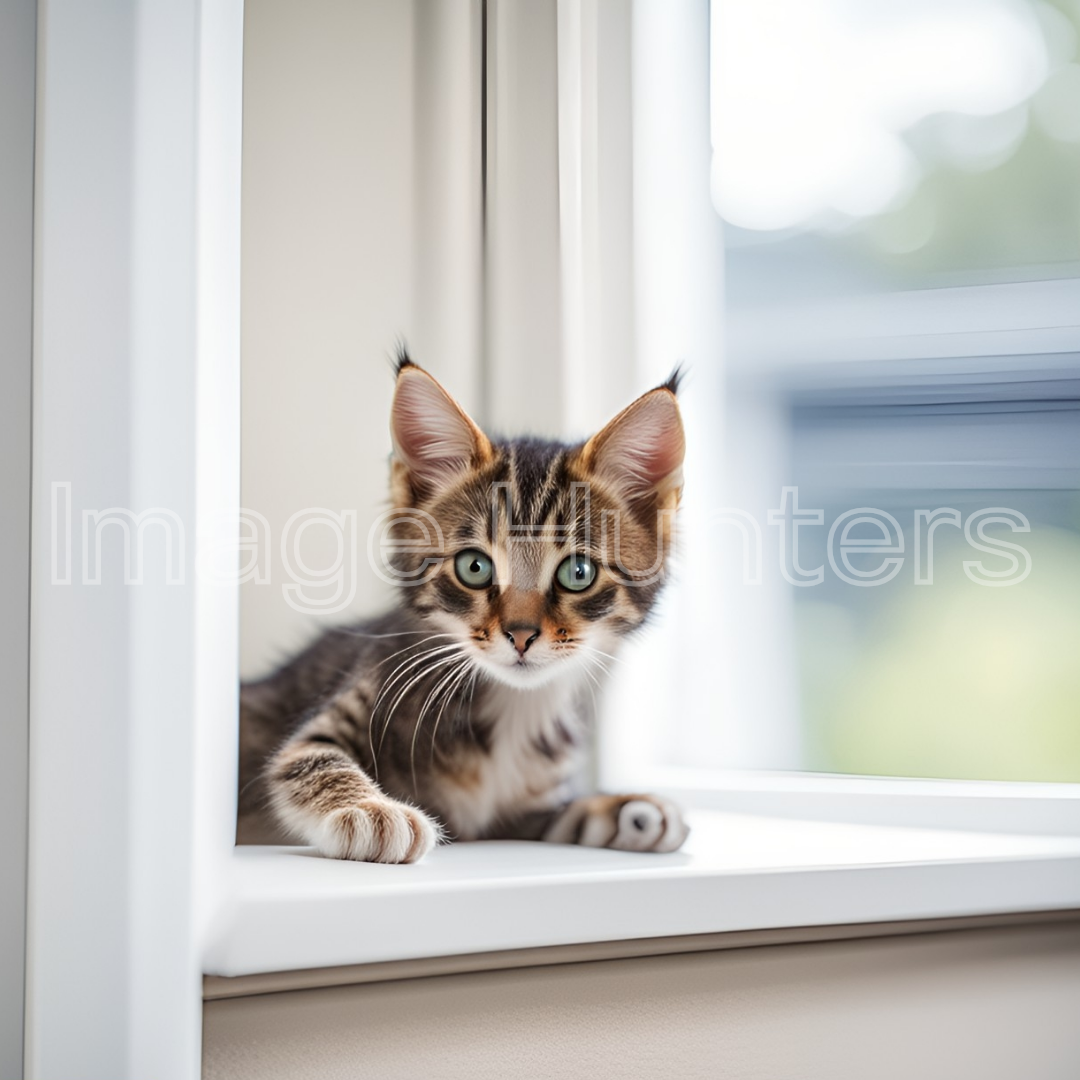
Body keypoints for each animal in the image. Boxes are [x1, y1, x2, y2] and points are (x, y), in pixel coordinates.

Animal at [239, 358, 686, 864]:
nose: (520, 634)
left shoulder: (525, 813)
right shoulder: (358, 691)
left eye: (578, 572)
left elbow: (558, 815)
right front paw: (372, 811)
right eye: (474, 567)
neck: (514, 707)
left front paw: (628, 808)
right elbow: (304, 757)